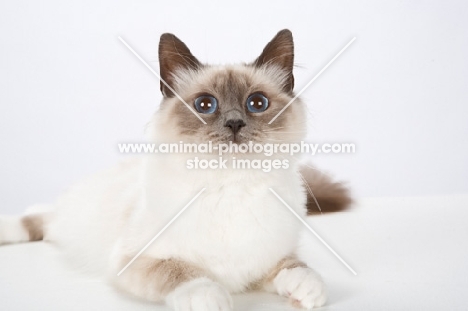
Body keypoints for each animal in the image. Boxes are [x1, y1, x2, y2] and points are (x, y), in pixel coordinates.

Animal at [0, 29, 352, 311]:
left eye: (257, 104)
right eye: (205, 106)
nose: (235, 123)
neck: (230, 189)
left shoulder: (271, 258)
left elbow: (296, 267)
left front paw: (308, 290)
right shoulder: (135, 260)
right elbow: (182, 272)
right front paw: (211, 296)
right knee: (41, 218)